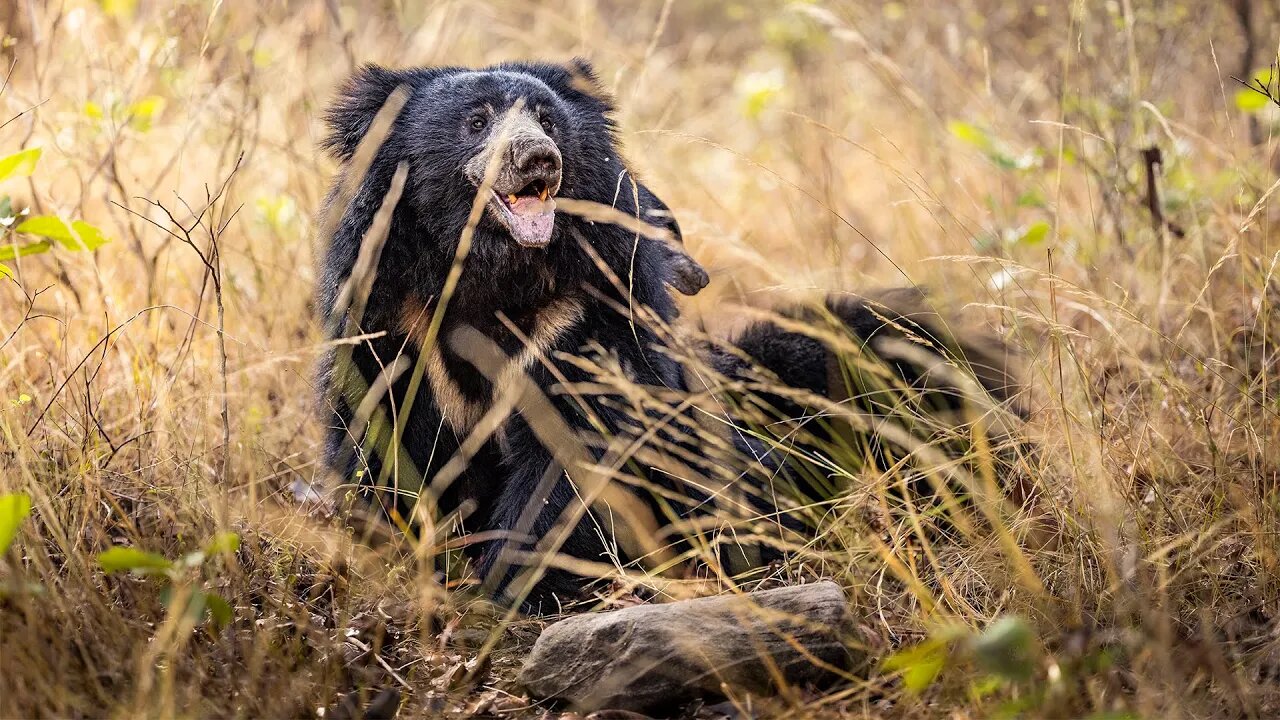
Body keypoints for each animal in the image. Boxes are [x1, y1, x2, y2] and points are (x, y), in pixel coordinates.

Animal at [314, 60, 1024, 609]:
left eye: (546, 120)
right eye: (478, 120)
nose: (539, 159)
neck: (492, 273)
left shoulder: (584, 319)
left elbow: (578, 454)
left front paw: (508, 583)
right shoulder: (391, 314)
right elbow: (381, 431)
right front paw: (409, 556)